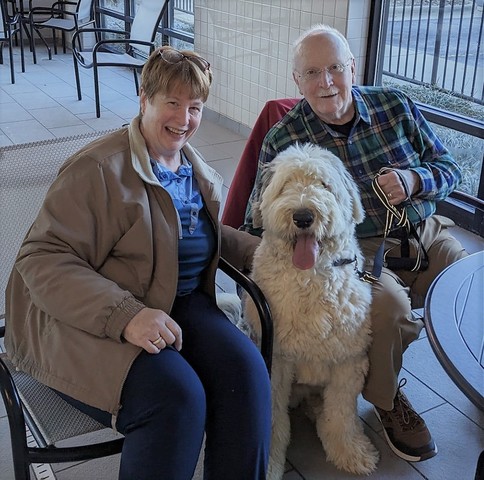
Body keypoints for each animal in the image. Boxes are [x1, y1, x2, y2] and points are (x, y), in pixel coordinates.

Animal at [244, 142, 380, 476]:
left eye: (324, 184)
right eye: (285, 186)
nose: (304, 216)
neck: (309, 278)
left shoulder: (349, 360)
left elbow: (342, 414)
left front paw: (351, 452)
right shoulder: (277, 361)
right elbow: (273, 419)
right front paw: (269, 463)